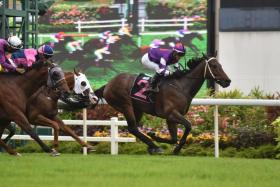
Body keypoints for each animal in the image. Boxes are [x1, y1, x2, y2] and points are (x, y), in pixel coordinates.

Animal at [95, 54, 231, 155]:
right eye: (214, 66)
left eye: (220, 65)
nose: (227, 81)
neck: (181, 87)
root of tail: (108, 84)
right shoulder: (171, 113)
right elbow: (188, 126)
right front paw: (176, 149)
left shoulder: (171, 118)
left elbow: (174, 138)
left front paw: (156, 137)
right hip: (125, 105)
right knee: (133, 127)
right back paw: (155, 147)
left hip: (137, 109)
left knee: (133, 128)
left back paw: (152, 146)